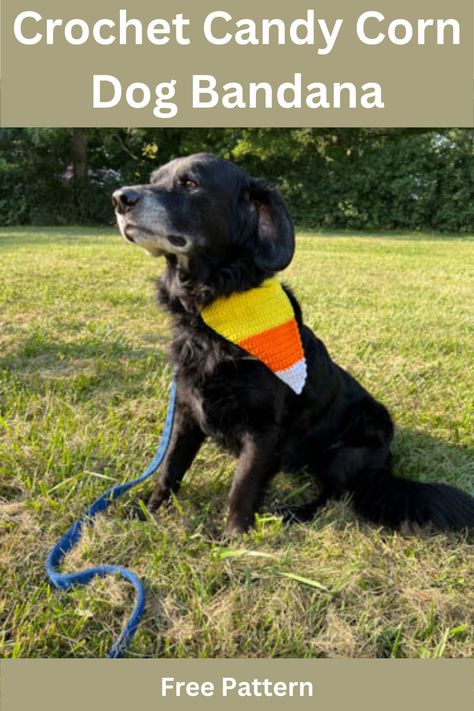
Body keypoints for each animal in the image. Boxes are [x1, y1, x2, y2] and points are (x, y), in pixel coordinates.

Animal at [113, 154, 472, 536]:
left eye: (190, 183)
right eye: (155, 178)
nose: (120, 198)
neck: (216, 315)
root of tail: (384, 466)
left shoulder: (264, 431)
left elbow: (241, 488)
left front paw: (233, 539)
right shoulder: (186, 411)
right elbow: (170, 469)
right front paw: (148, 510)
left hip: (347, 451)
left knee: (335, 494)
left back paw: (295, 512)